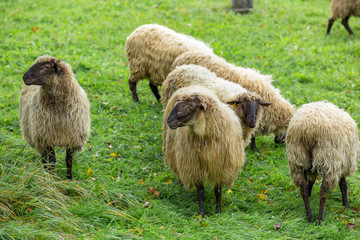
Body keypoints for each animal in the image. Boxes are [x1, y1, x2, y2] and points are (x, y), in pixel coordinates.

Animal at [163, 85, 245, 218]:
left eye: (190, 107)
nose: (169, 121)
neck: (205, 138)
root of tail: (193, 86)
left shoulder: (220, 167)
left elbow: (218, 191)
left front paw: (218, 212)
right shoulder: (195, 167)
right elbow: (200, 192)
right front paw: (201, 214)